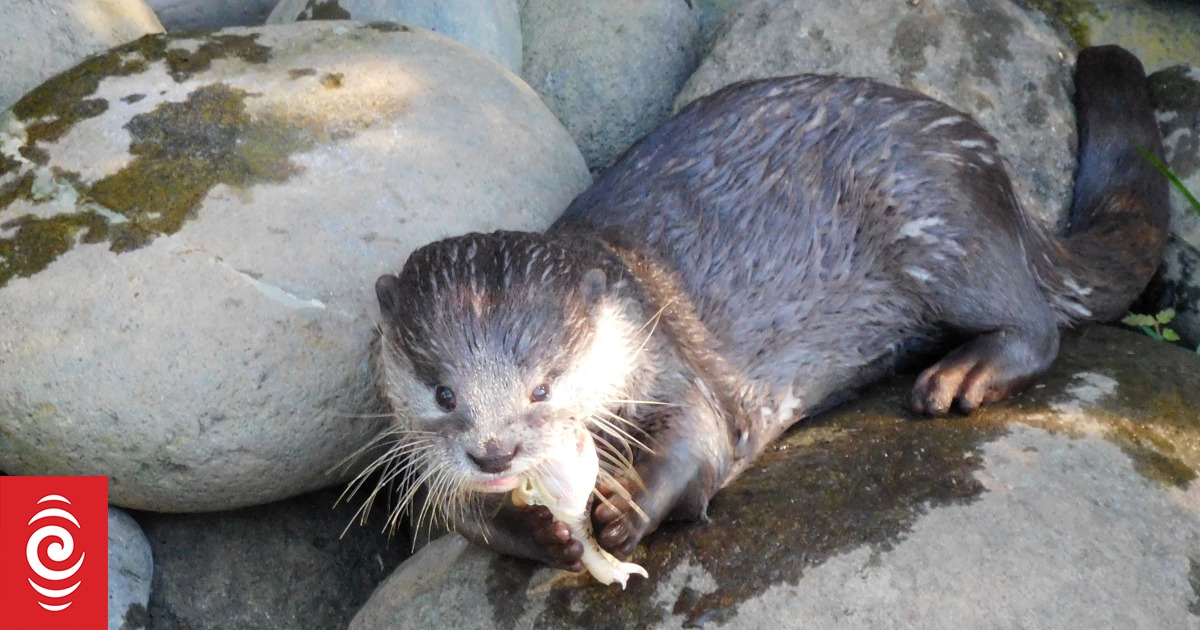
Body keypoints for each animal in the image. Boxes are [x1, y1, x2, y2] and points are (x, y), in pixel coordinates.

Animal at [366, 45, 1168, 572]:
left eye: (544, 386)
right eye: (442, 392)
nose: (494, 452)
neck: (629, 316)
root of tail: (990, 164)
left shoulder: (669, 364)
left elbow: (700, 443)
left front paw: (626, 509)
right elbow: (461, 514)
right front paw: (545, 533)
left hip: (941, 222)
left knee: (1036, 320)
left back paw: (958, 377)